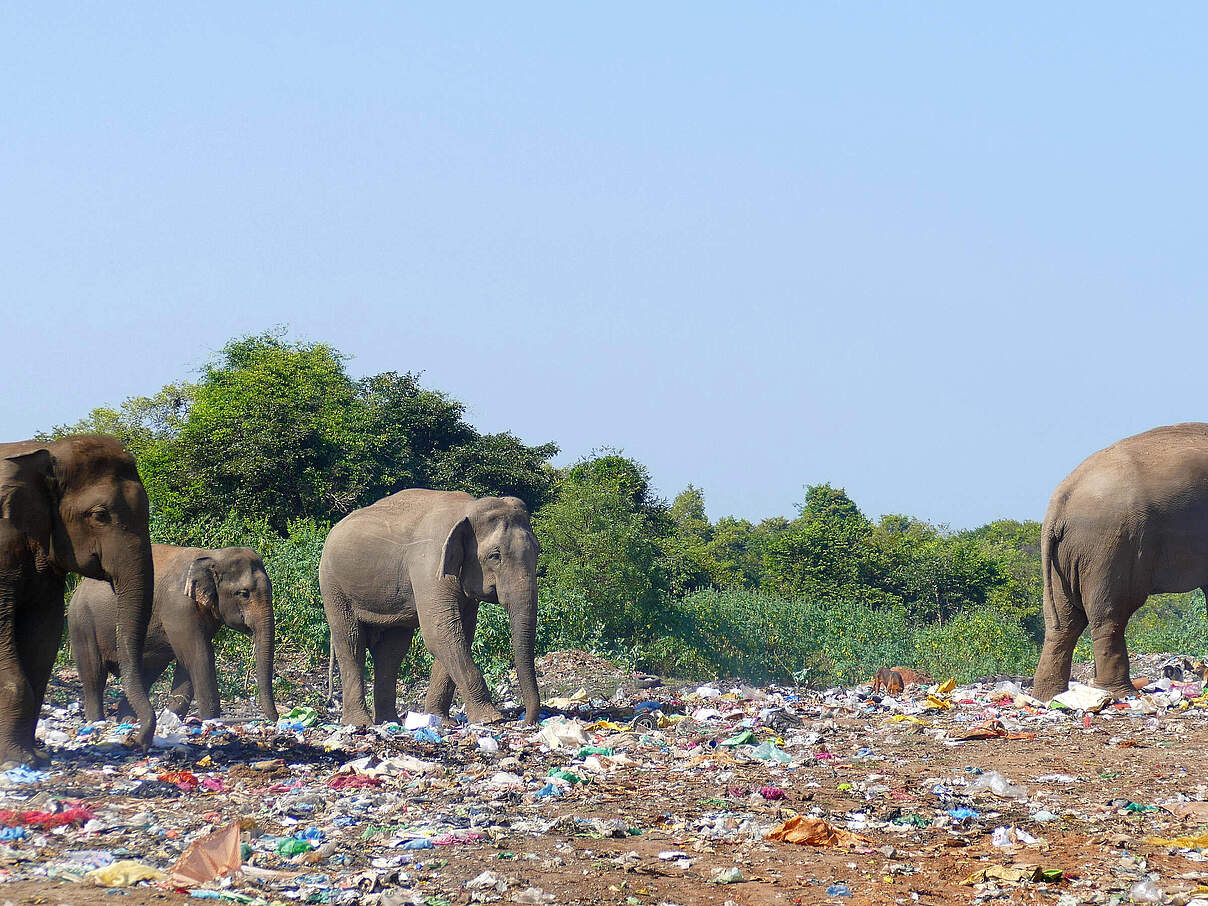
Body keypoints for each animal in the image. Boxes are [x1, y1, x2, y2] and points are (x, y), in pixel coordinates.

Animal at [0, 437, 155, 763]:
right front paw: (17, 761)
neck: (44, 454)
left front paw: (35, 758)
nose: (136, 741)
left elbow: (44, 634)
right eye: (99, 515)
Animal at [70, 546, 277, 724]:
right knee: (94, 675)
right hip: (82, 623)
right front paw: (211, 720)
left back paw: (127, 721)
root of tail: (78, 589)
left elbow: (188, 662)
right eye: (243, 593)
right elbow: (200, 656)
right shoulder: (178, 607)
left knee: (146, 673)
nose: (275, 719)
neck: (213, 555)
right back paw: (98, 722)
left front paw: (171, 719)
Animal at [318, 490, 541, 729]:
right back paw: (362, 724)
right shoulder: (428, 564)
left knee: (392, 649)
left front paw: (440, 720)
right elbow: (441, 633)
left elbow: (459, 634)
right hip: (333, 586)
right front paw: (490, 719)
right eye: (495, 556)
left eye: (537, 551)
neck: (467, 508)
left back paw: (389, 721)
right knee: (352, 642)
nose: (525, 722)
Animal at [1034, 425, 1208, 700]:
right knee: (1110, 615)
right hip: (1112, 545)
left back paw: (1049, 697)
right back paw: (1120, 694)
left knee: (1061, 622)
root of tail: (1060, 501)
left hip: (1064, 557)